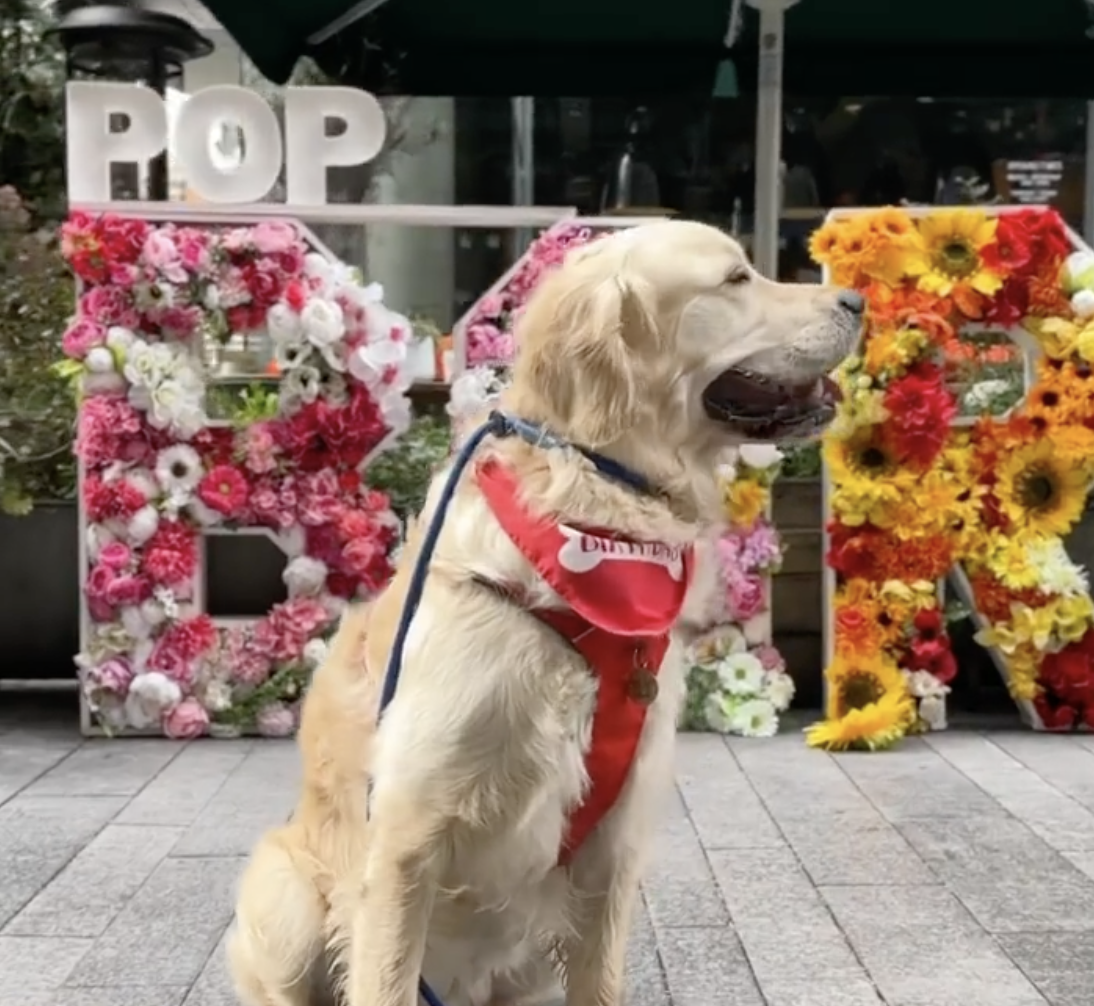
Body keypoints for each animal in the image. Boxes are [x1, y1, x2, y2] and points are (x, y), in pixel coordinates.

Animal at [228, 219, 862, 1005]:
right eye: (736, 278)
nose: (858, 299)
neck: (590, 523)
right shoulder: (404, 837)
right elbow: (386, 978)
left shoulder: (612, 850)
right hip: (285, 897)